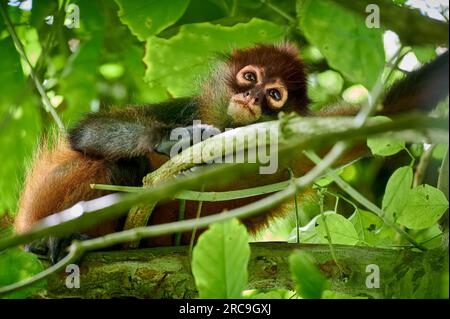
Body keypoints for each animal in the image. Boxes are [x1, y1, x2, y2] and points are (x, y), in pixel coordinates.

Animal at [13, 42, 446, 262]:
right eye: (249, 77)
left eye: (274, 94)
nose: (251, 98)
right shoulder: (186, 108)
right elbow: (85, 134)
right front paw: (170, 140)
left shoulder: (293, 147)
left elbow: (394, 110)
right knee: (121, 165)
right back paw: (49, 243)